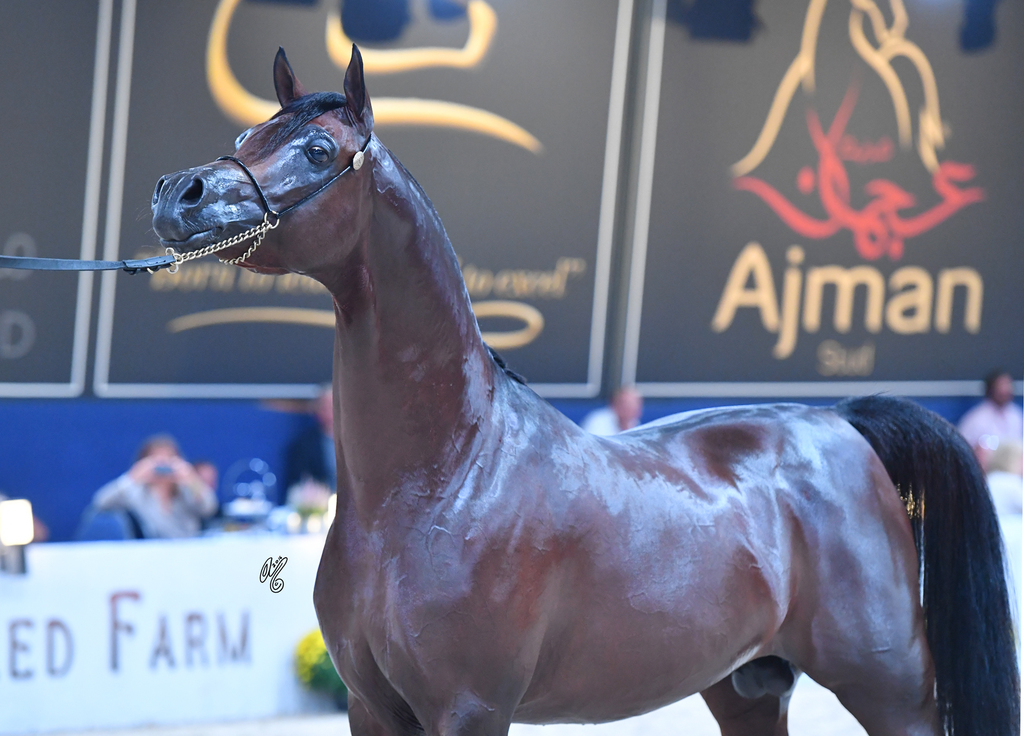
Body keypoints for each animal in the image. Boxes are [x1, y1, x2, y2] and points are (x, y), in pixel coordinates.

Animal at [151, 46, 1019, 736]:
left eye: (318, 148)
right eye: (246, 138)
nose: (177, 194)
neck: (444, 478)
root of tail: (841, 421)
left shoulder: (470, 709)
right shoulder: (372, 709)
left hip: (888, 690)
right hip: (747, 688)